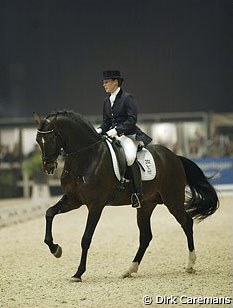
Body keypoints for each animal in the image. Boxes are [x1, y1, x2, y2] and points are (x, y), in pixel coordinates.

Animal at [32, 110, 218, 282]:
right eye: (38, 140)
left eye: (51, 139)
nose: (48, 167)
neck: (86, 158)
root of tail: (174, 157)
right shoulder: (73, 200)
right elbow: (49, 213)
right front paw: (55, 249)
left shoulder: (96, 205)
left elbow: (86, 238)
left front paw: (78, 273)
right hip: (146, 205)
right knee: (146, 236)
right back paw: (130, 269)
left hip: (172, 199)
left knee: (186, 223)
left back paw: (190, 264)